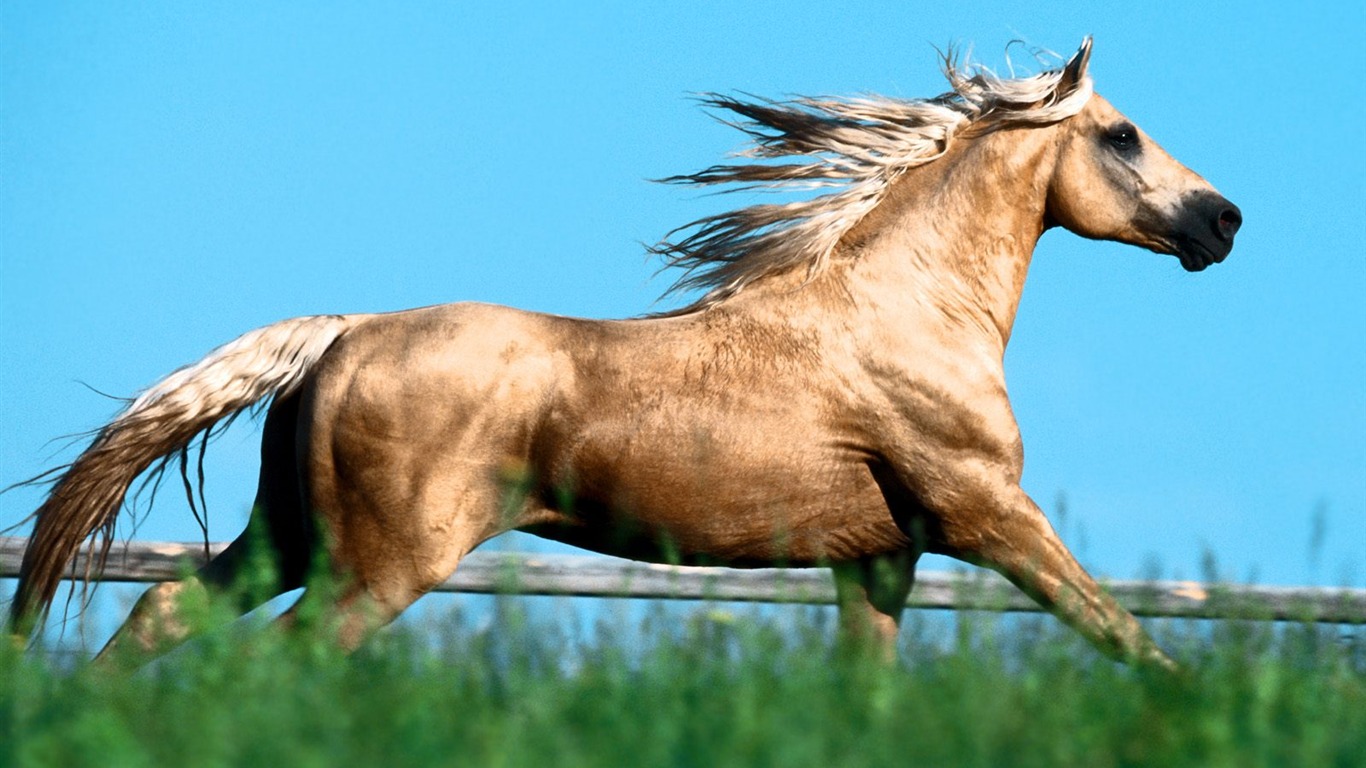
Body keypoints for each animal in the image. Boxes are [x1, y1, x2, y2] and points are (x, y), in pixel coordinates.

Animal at [5, 40, 1240, 664]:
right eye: (1123, 136)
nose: (1223, 221)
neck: (902, 313)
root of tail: (343, 330)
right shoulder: (989, 518)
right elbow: (1131, 641)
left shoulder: (879, 561)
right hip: (382, 564)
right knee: (280, 660)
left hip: (289, 538)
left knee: (160, 616)